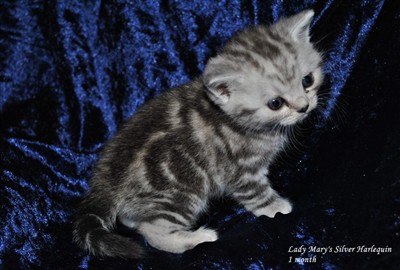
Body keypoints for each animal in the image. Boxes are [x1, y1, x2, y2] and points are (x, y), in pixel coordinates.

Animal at [73, 9, 324, 258]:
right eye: (275, 103)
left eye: (307, 80)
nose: (304, 107)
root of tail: (106, 180)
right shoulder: (240, 171)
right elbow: (255, 193)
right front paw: (275, 207)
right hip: (180, 193)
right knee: (153, 231)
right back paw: (197, 238)